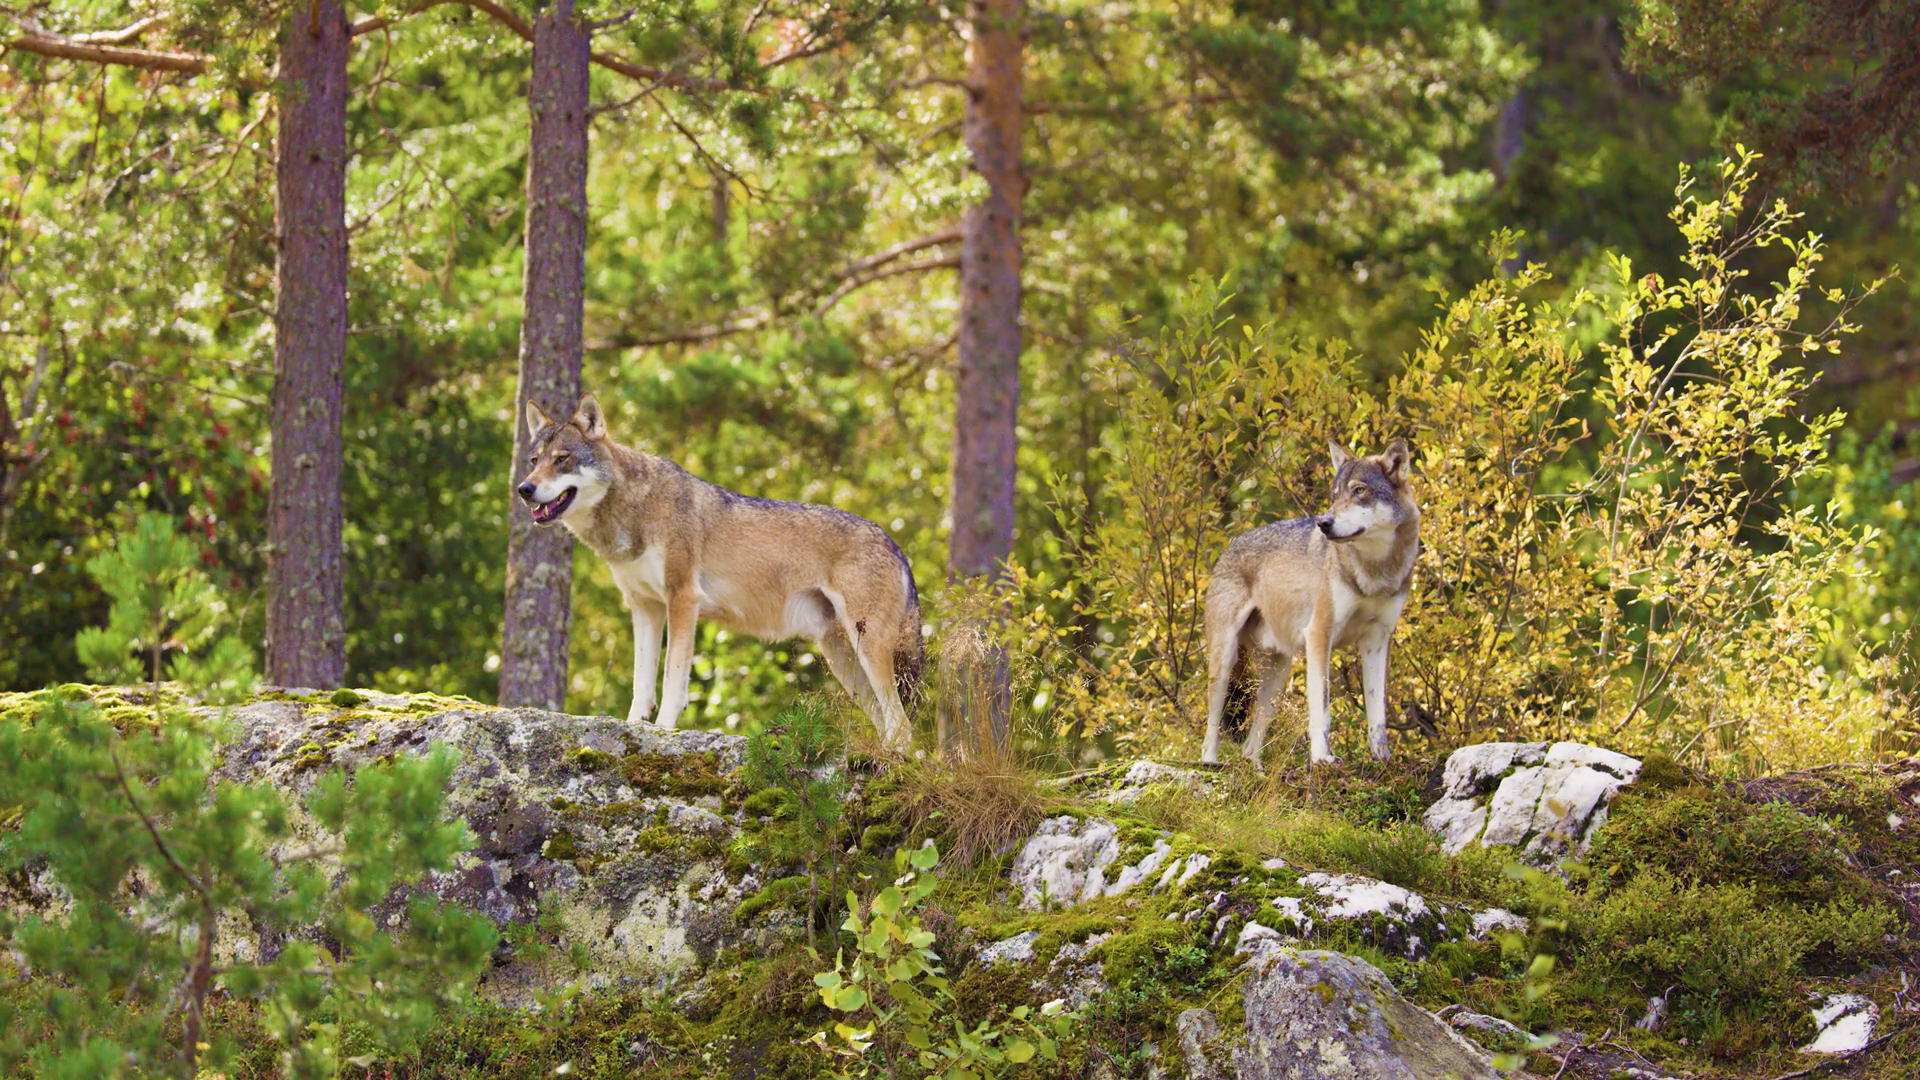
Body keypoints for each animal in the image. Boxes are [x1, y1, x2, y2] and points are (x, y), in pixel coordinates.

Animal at [515, 394, 923, 751]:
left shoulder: (683, 600)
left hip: (867, 650)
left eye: (562, 459)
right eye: (534, 460)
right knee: (887, 721)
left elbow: (673, 680)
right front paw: (632, 728)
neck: (635, 509)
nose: (524, 489)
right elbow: (641, 683)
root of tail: (896, 545)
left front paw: (664, 731)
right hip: (843, 659)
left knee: (902, 725)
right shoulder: (645, 607)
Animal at [1200, 439, 1419, 766]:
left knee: (1250, 745)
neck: (1375, 570)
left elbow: (1377, 713)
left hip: (1278, 677)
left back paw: (1256, 769)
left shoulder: (1377, 640)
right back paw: (1210, 763)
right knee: (1212, 727)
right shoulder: (1319, 634)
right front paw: (1322, 758)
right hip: (1226, 661)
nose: (1323, 523)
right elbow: (1322, 709)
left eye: (1359, 490)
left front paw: (1382, 759)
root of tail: (1230, 545)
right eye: (1335, 496)